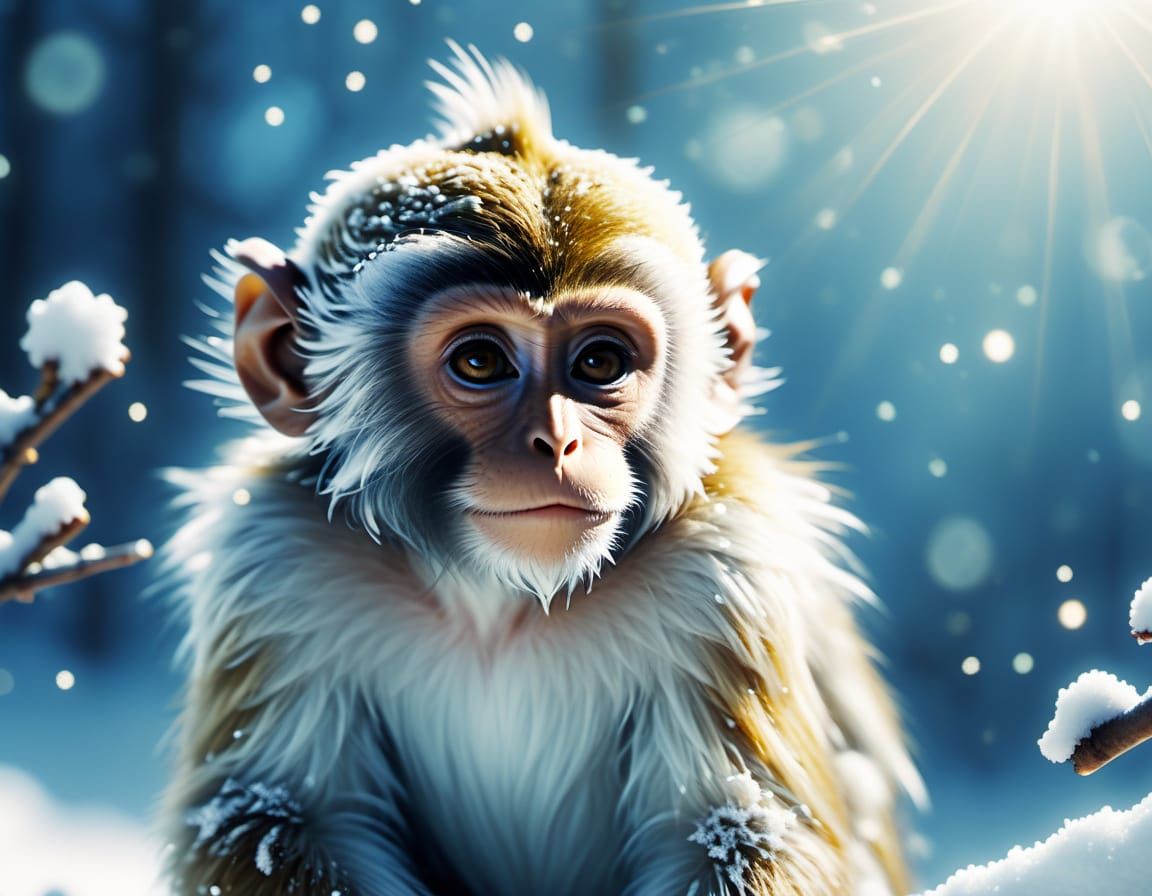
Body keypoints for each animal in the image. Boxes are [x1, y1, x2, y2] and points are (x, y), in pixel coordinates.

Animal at [163, 44, 925, 896]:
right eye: (480, 361)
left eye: (599, 362)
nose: (557, 443)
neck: (500, 600)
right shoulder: (276, 560)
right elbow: (273, 816)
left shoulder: (728, 569)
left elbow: (737, 829)